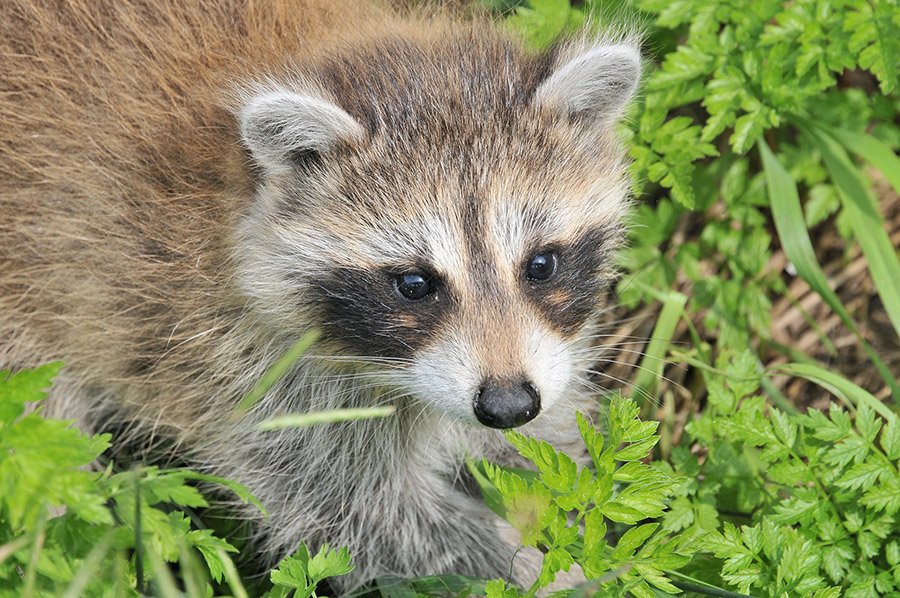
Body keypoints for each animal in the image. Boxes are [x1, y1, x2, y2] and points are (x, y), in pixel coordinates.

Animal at [0, 0, 640, 591]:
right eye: (414, 284)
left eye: (540, 265)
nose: (508, 404)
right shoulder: (234, 363)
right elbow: (370, 517)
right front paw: (553, 576)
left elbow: (545, 452)